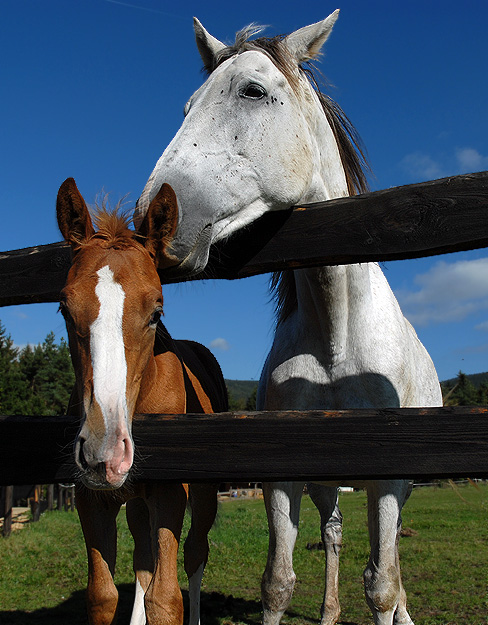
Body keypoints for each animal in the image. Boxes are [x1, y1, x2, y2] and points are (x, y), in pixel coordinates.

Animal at [134, 11, 442, 624]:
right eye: (188, 106)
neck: (336, 339)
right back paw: (327, 612)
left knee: (389, 566)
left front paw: (391, 608)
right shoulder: (282, 472)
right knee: (334, 534)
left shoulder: (389, 476)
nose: (152, 217)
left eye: (253, 91)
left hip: (398, 487)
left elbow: (382, 584)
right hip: (327, 484)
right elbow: (277, 582)